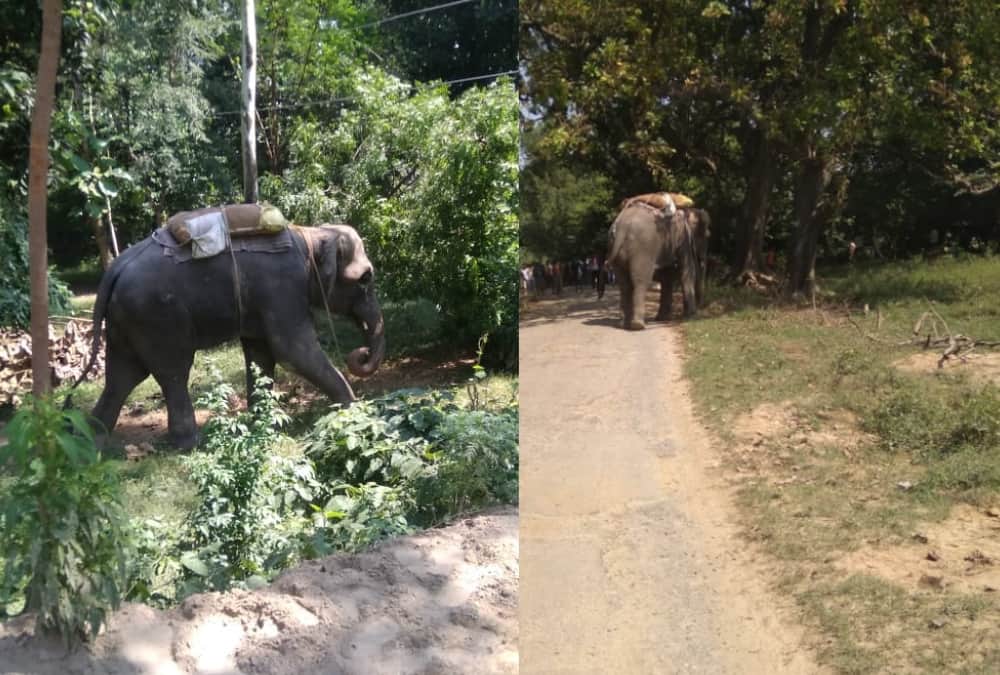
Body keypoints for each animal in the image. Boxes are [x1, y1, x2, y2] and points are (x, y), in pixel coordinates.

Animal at [76, 220, 385, 449]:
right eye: (366, 278)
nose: (361, 354)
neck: (310, 234)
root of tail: (114, 270)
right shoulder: (282, 288)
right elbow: (293, 351)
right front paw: (355, 412)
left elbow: (260, 354)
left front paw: (263, 424)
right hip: (156, 316)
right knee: (172, 372)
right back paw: (189, 444)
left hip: (125, 321)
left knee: (122, 376)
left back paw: (93, 442)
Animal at [607, 201, 710, 330]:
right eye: (705, 236)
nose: (700, 308)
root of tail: (622, 226)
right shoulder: (683, 238)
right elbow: (687, 271)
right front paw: (691, 316)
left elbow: (667, 277)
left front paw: (662, 318)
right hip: (643, 249)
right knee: (641, 282)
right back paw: (638, 325)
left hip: (617, 249)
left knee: (624, 284)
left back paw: (623, 325)